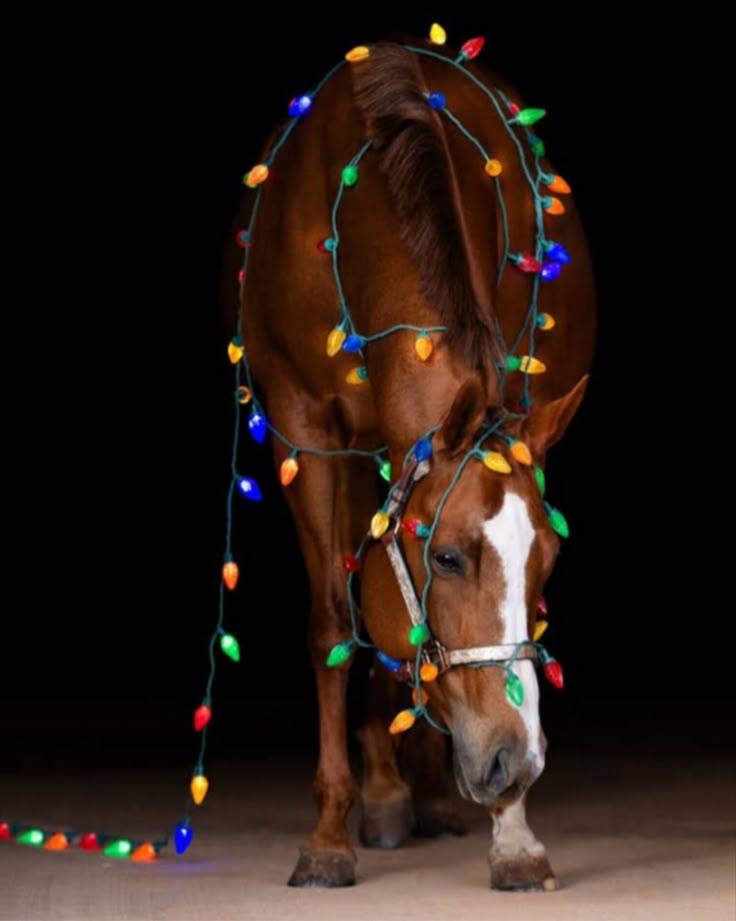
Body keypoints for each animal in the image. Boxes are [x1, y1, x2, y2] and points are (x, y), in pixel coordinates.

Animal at [228, 37, 595, 891]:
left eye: (549, 559)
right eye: (450, 557)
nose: (515, 761)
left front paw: (513, 833)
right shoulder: (302, 435)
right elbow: (334, 621)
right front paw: (328, 834)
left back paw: (414, 791)